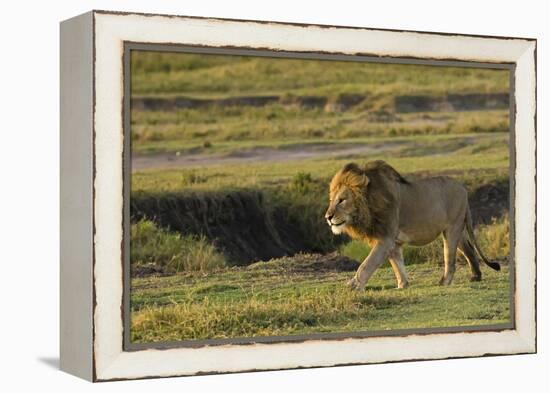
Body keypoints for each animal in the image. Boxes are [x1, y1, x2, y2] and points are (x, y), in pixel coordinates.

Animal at [326, 158, 502, 290]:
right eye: (331, 200)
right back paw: (476, 276)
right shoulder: (393, 242)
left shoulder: (385, 238)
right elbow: (397, 265)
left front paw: (352, 287)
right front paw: (402, 285)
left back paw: (444, 281)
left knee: (450, 259)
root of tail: (463, 188)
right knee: (469, 249)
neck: (369, 205)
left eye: (342, 200)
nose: (328, 217)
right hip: (457, 228)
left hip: (452, 229)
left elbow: (367, 264)